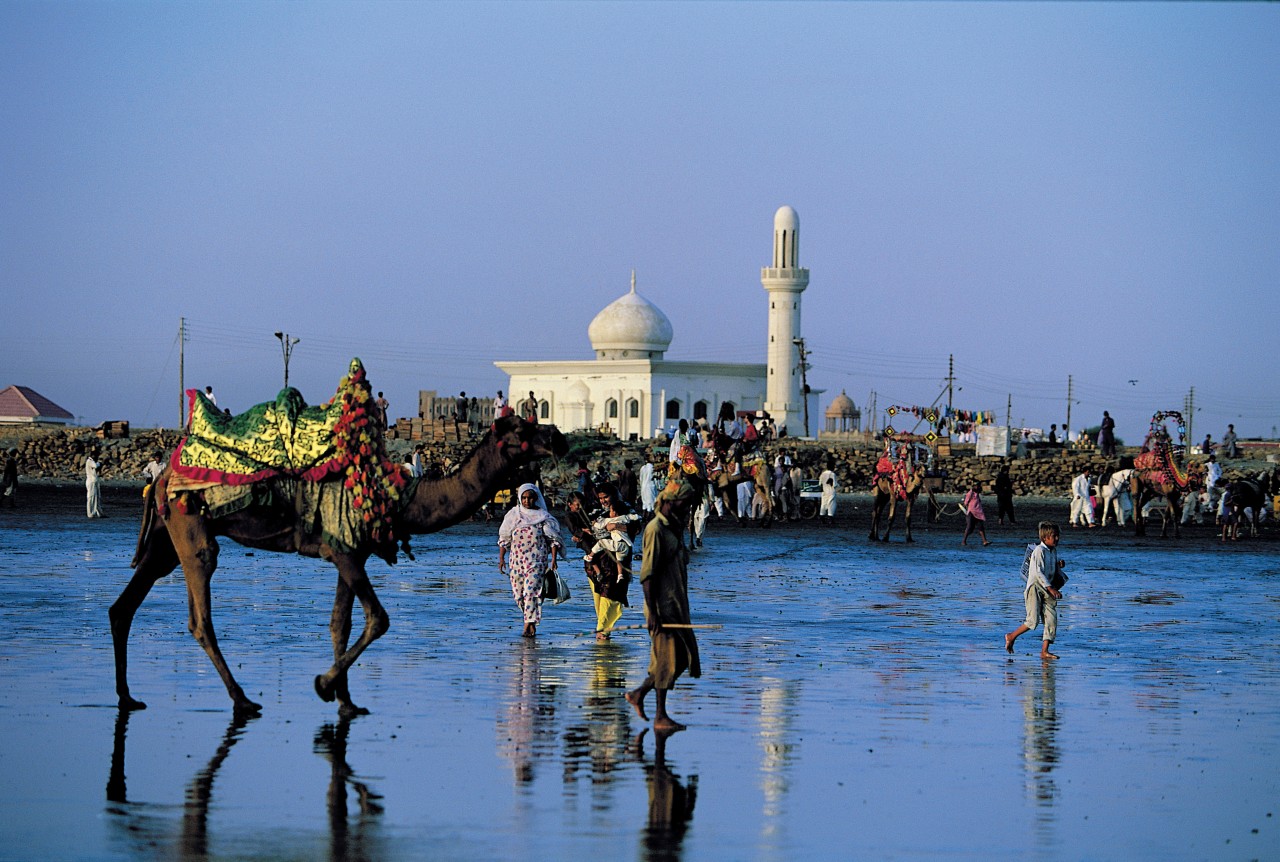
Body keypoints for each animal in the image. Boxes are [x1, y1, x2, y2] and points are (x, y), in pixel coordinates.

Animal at [111, 358, 565, 717]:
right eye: (520, 430)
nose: (558, 435)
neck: (395, 495)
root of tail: (163, 476)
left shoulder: (353, 553)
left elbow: (339, 624)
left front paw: (346, 701)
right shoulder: (343, 550)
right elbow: (378, 619)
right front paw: (324, 685)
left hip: (166, 537)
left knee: (126, 604)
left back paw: (128, 697)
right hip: (191, 525)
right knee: (200, 612)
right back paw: (242, 700)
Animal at [1136, 409, 1203, 537]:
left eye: (1203, 471)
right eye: (1196, 467)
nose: (1202, 485)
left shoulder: (1173, 497)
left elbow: (1167, 515)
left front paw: (1163, 534)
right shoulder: (1169, 496)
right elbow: (1173, 515)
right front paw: (1177, 534)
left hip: (1150, 492)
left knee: (1140, 506)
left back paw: (1141, 531)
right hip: (1141, 486)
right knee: (1138, 505)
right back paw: (1139, 531)